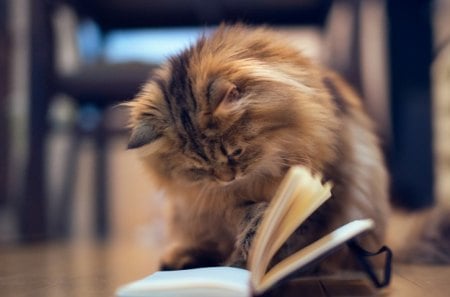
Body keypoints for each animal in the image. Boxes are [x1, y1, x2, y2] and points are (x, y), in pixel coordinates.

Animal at [125, 24, 438, 270]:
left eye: (235, 152)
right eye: (198, 168)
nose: (227, 179)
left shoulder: (325, 186)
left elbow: (287, 231)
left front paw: (253, 261)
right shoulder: (219, 204)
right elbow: (242, 218)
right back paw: (180, 259)